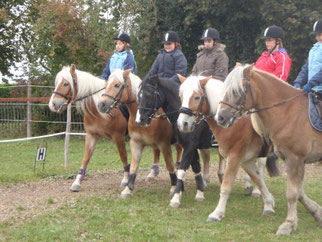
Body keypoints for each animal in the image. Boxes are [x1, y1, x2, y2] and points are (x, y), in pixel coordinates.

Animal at [97, 68, 185, 199]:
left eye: (117, 85)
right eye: (106, 83)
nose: (101, 105)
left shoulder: (164, 144)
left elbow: (169, 164)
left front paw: (174, 187)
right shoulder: (135, 143)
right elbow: (134, 166)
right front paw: (127, 189)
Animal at [133, 74, 216, 207]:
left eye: (149, 95)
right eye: (138, 95)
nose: (140, 119)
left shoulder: (190, 145)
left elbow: (183, 170)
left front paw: (177, 197)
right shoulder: (188, 145)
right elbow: (195, 167)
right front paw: (198, 192)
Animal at [176, 74, 280, 223]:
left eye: (196, 97)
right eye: (181, 96)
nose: (182, 124)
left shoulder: (235, 157)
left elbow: (226, 186)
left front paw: (217, 213)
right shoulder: (245, 160)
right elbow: (257, 179)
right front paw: (269, 204)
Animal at [216, 63, 322, 234]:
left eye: (237, 90)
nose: (220, 117)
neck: (288, 112)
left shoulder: (295, 159)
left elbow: (292, 193)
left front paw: (288, 224)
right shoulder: (299, 160)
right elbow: (299, 192)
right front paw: (317, 214)